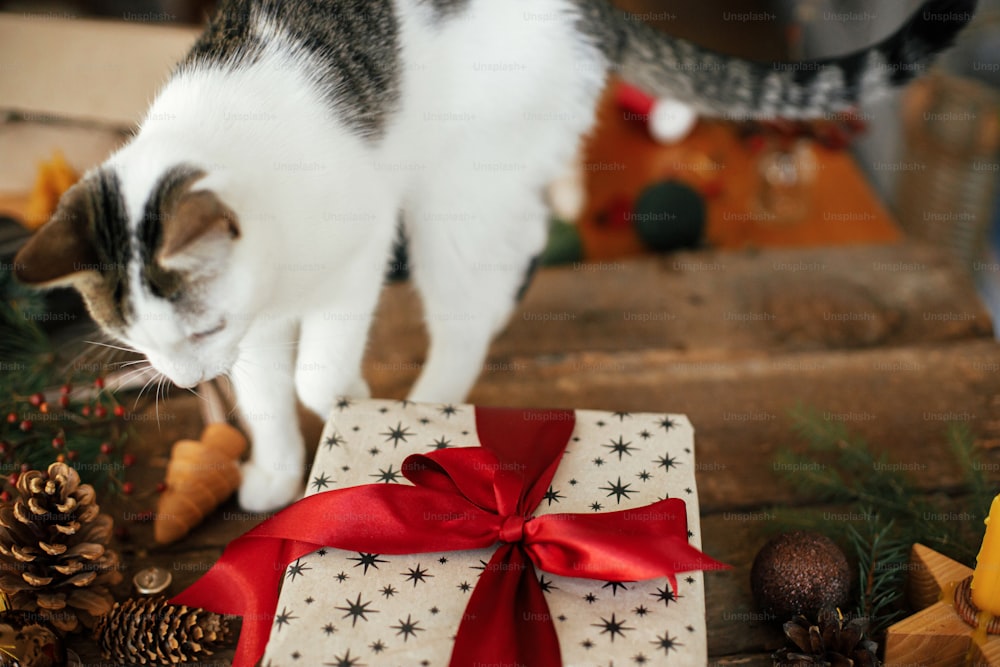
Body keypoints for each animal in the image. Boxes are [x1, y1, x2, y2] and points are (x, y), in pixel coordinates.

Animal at [13, 0, 976, 512]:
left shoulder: (360, 242)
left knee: (478, 296)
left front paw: (346, 390)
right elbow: (264, 396)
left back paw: (431, 407)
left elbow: (314, 374)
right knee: (517, 247)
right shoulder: (257, 321)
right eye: (139, 345)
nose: (181, 381)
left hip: (453, 188)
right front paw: (278, 469)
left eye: (195, 327)